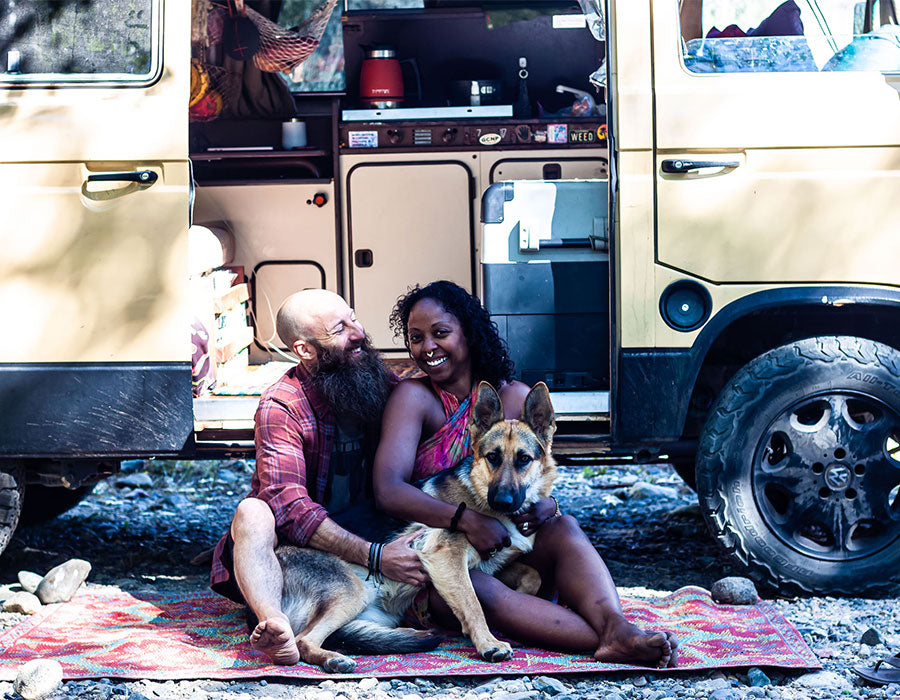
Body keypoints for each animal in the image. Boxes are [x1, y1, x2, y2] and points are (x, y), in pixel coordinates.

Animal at [274, 382, 556, 672]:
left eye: (523, 459)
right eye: (492, 457)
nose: (503, 501)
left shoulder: (490, 564)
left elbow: (533, 576)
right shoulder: (447, 557)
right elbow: (472, 602)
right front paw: (489, 642)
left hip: (376, 611)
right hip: (353, 591)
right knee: (303, 640)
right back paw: (334, 659)